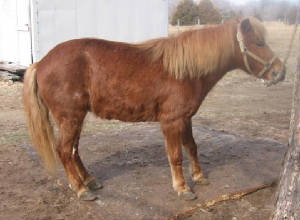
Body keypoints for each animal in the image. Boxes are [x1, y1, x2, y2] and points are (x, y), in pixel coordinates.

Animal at [23, 16, 286, 199]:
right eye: (259, 42)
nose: (280, 72)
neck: (184, 70)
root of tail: (41, 62)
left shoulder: (185, 118)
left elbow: (192, 147)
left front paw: (199, 176)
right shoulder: (171, 121)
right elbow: (176, 155)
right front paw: (182, 188)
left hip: (75, 118)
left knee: (73, 150)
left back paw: (89, 181)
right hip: (70, 117)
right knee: (64, 150)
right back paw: (81, 189)